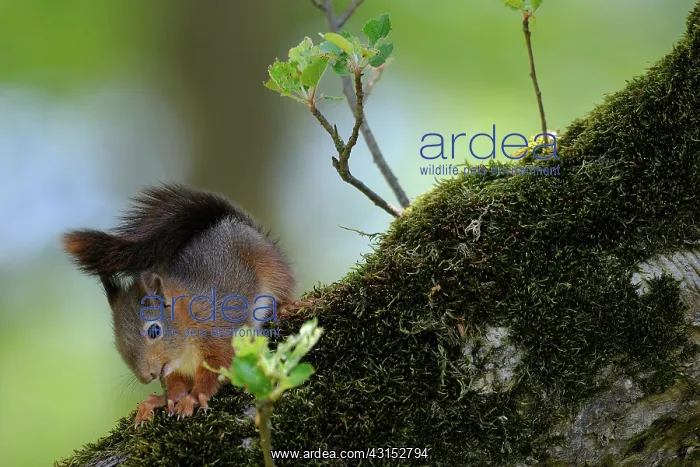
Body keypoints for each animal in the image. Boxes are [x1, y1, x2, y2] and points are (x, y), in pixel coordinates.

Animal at [62, 184, 306, 425]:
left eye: (154, 330)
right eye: (118, 343)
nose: (146, 377)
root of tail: (233, 223)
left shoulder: (219, 336)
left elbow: (218, 366)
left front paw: (195, 397)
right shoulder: (173, 368)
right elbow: (176, 382)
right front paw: (171, 397)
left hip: (270, 267)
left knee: (282, 287)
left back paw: (284, 306)